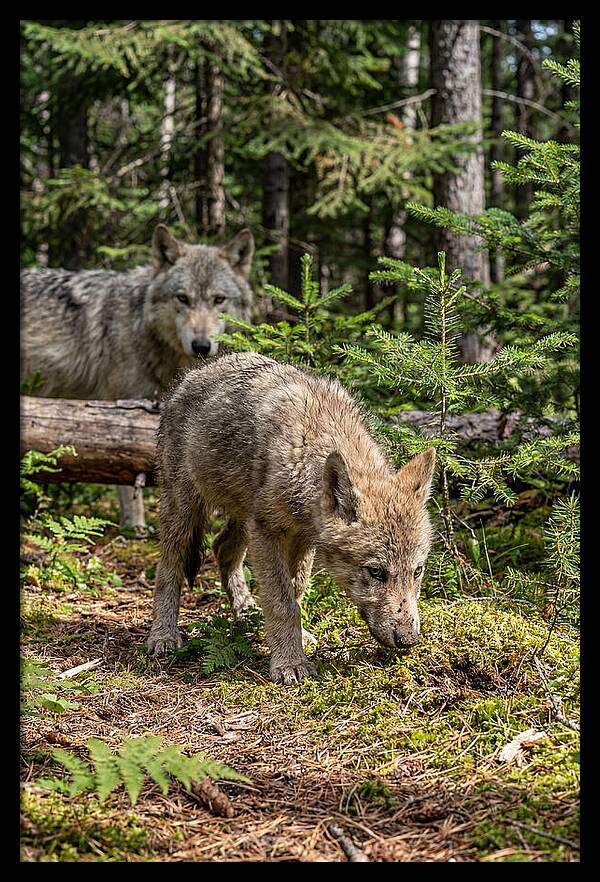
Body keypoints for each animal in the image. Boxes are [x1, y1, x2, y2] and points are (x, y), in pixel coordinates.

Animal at [20, 225, 255, 531]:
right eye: (183, 298)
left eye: (219, 300)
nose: (201, 346)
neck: (141, 326)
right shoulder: (121, 411)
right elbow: (127, 478)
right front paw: (135, 528)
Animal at [148, 352, 436, 684]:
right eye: (376, 572)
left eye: (417, 571)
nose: (408, 640)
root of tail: (192, 375)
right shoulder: (268, 533)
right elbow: (282, 602)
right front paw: (289, 663)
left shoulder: (302, 539)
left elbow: (296, 593)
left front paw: (296, 640)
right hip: (185, 510)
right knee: (169, 567)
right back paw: (163, 635)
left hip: (244, 518)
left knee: (222, 548)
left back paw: (246, 612)